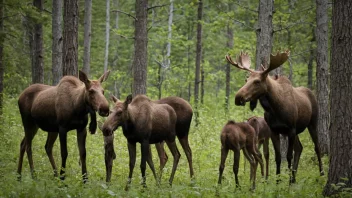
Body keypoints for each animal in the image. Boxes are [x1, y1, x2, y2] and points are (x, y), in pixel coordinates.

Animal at [226, 50, 324, 183]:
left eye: (257, 81)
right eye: (246, 79)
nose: (238, 97)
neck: (275, 108)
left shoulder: (291, 130)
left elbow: (288, 156)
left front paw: (287, 183)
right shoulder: (274, 131)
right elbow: (277, 157)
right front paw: (278, 181)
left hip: (312, 123)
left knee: (317, 147)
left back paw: (321, 173)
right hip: (297, 131)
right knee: (300, 147)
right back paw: (294, 177)